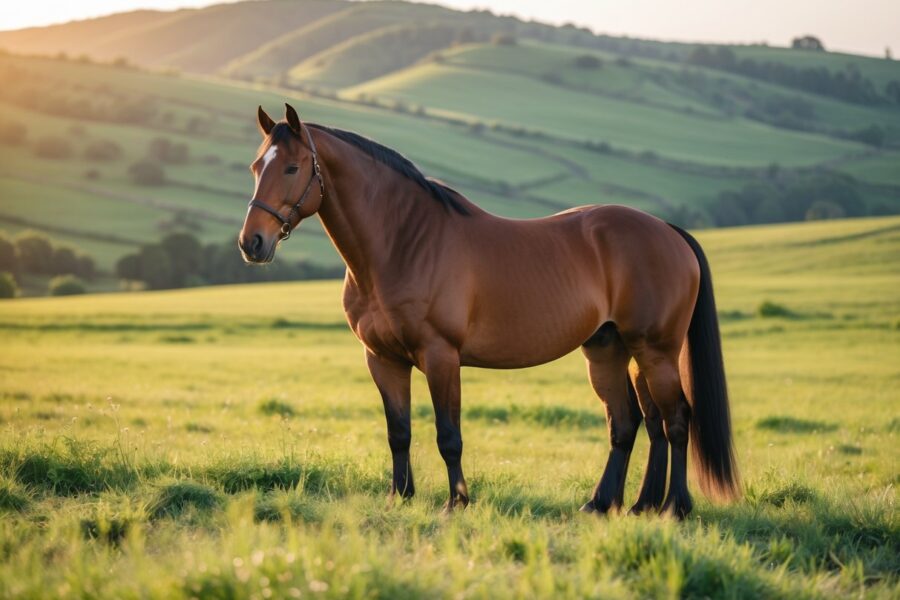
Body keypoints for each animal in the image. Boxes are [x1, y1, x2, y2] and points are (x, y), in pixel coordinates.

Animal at [238, 104, 740, 517]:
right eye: (255, 167)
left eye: (292, 166)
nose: (252, 242)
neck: (403, 243)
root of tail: (669, 231)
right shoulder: (383, 359)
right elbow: (399, 431)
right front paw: (400, 497)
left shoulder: (440, 356)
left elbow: (448, 434)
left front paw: (456, 502)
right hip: (611, 351)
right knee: (633, 422)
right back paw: (617, 504)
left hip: (655, 350)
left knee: (676, 420)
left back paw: (673, 507)